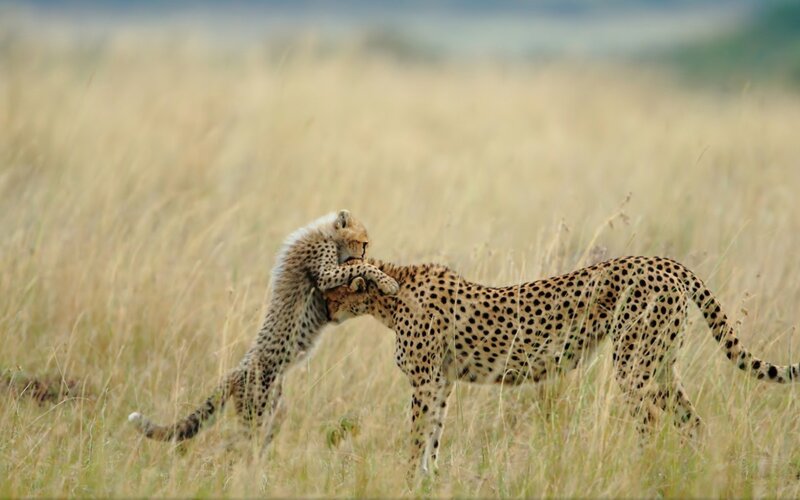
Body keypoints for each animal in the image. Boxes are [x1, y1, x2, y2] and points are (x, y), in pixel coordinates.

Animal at [128, 210, 399, 452]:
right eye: (363, 243)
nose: (365, 251)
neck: (327, 234)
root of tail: (235, 372)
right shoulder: (325, 274)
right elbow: (356, 269)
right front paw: (386, 280)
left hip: (274, 410)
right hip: (255, 413)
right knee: (236, 445)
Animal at [323, 256, 800, 479]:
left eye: (328, 292)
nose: (323, 312)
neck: (388, 293)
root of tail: (665, 261)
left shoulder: (426, 382)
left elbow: (417, 439)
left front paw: (408, 480)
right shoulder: (440, 383)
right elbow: (432, 440)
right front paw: (428, 480)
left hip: (633, 365)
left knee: (650, 421)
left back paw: (644, 472)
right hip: (661, 365)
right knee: (693, 422)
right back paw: (689, 472)